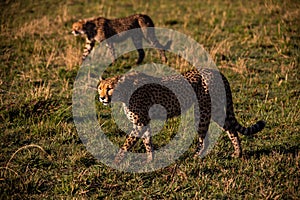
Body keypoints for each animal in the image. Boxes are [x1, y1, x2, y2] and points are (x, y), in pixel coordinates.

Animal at [96, 68, 264, 162]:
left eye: (109, 88)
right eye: (100, 88)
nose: (102, 97)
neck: (125, 90)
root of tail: (217, 71)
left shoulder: (139, 123)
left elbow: (126, 144)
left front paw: (116, 162)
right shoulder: (144, 122)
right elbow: (147, 142)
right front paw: (150, 161)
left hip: (204, 111)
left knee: (206, 138)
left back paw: (196, 157)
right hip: (214, 110)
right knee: (229, 127)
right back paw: (237, 153)